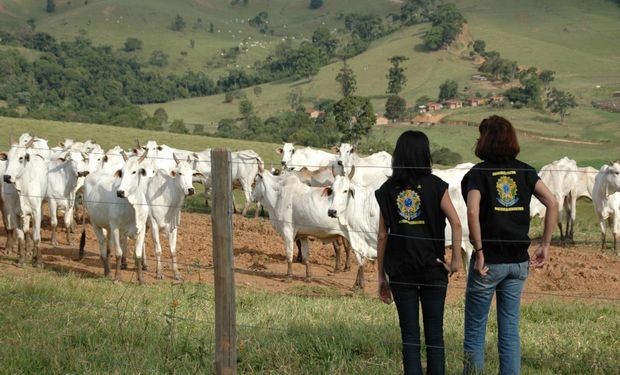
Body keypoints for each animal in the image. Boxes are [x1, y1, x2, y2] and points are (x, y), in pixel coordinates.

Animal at [2, 137, 49, 266]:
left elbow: (37, 236)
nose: (6, 177)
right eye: (7, 158)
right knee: (26, 230)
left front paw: (39, 261)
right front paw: (21, 259)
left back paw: (33, 256)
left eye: (21, 158)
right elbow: (20, 236)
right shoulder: (13, 213)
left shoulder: (36, 212)